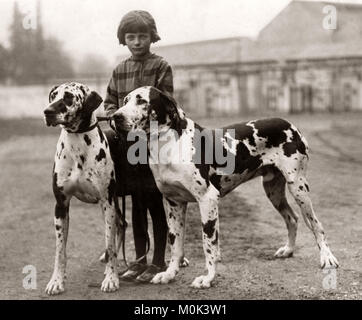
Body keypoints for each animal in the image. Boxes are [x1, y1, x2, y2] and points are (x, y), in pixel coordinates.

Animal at [43, 82, 122, 296]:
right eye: (53, 96)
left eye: (69, 97)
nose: (47, 112)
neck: (78, 141)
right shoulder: (60, 205)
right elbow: (60, 250)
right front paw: (56, 281)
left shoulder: (106, 203)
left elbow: (109, 243)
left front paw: (111, 279)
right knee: (122, 224)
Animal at [111, 86, 338, 288]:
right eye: (125, 100)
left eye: (141, 100)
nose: (115, 117)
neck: (169, 145)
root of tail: (290, 124)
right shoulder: (174, 203)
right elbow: (175, 244)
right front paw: (169, 274)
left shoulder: (208, 199)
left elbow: (209, 245)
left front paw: (208, 278)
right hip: (273, 190)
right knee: (292, 218)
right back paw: (288, 250)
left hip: (298, 187)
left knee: (316, 224)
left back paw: (327, 257)